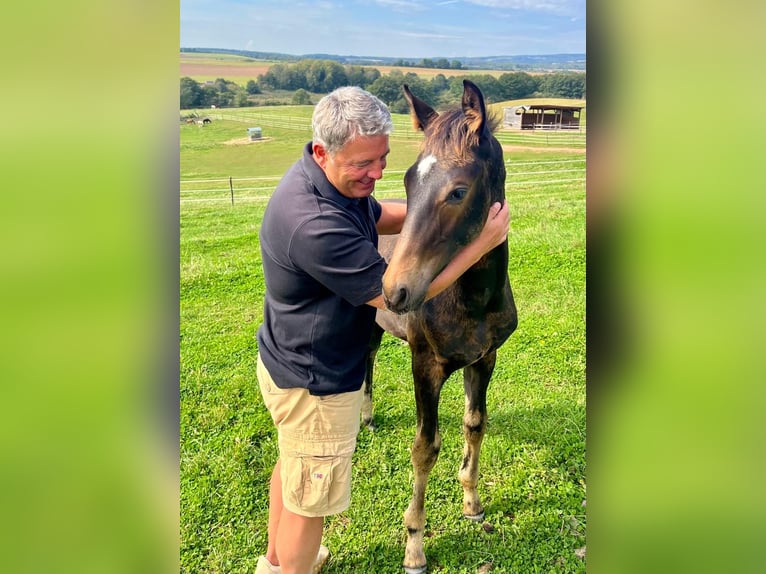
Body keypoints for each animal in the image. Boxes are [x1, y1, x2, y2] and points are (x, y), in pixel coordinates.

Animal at [364, 82, 520, 574]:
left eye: (458, 192)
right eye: (409, 181)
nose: (394, 290)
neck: (472, 300)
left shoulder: (485, 359)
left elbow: (475, 424)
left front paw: (472, 503)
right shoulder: (425, 365)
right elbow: (424, 447)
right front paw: (414, 547)